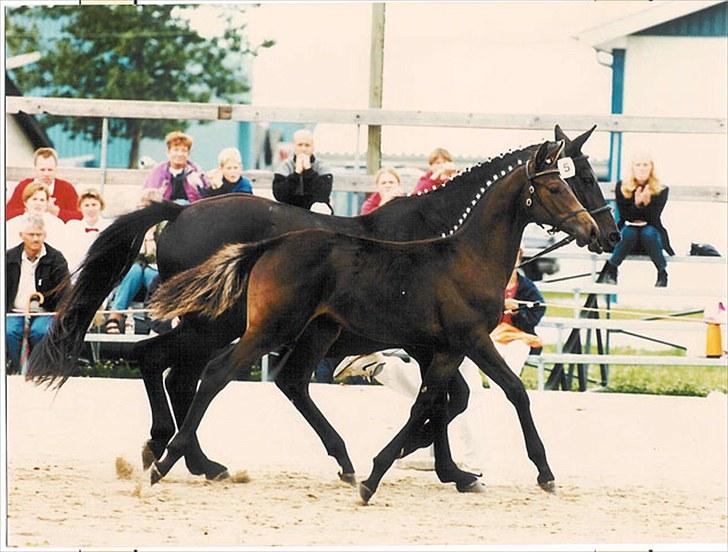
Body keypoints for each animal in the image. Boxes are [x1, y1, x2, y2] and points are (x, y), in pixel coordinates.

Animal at [27, 125, 616, 488]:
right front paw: (433, 461)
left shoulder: (431, 343)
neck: (442, 234)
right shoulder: (434, 342)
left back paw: (182, 453)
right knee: (178, 371)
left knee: (172, 367)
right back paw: (186, 455)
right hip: (222, 326)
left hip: (239, 327)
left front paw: (438, 464)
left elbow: (448, 400)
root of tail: (178, 212)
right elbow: (451, 399)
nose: (605, 235)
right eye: (581, 178)